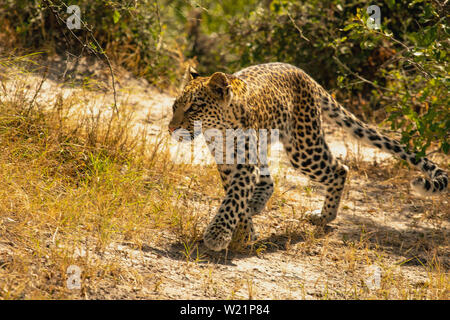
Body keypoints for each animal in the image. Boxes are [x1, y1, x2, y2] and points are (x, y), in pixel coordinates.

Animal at [168, 62, 446, 251]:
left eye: (193, 108)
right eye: (174, 106)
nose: (171, 128)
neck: (221, 130)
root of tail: (305, 75)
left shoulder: (243, 163)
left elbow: (234, 199)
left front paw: (218, 235)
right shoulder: (227, 162)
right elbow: (235, 198)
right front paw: (243, 233)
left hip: (303, 147)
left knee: (340, 169)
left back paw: (325, 217)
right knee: (269, 180)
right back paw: (259, 203)